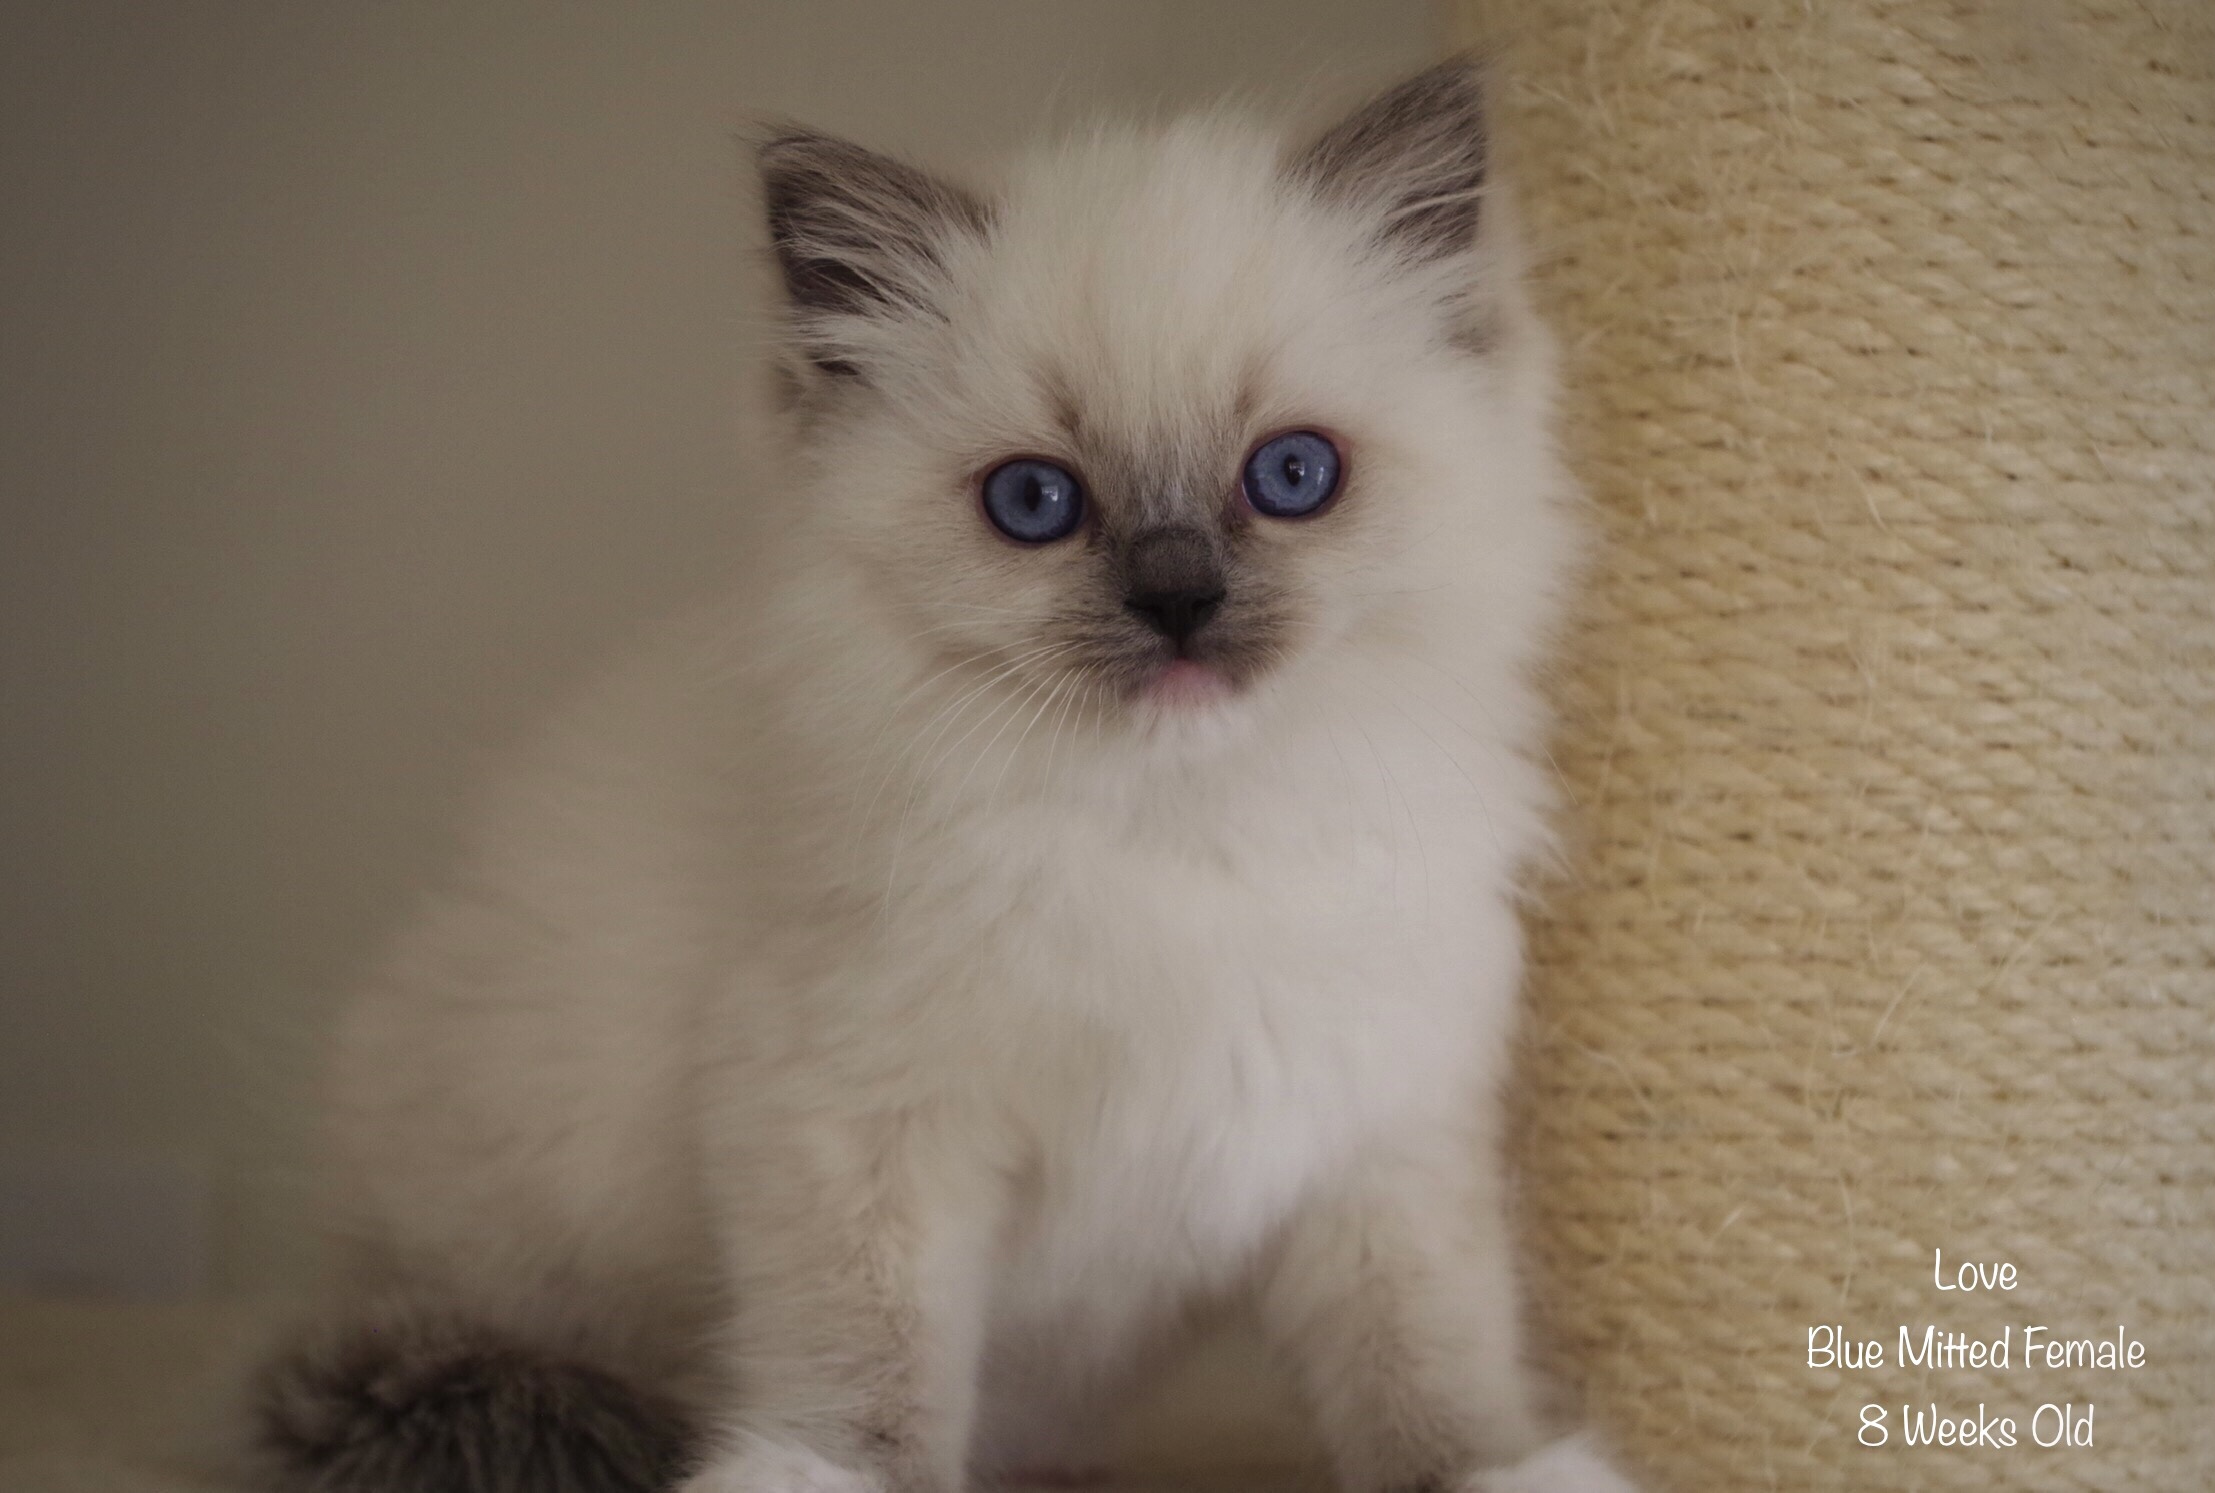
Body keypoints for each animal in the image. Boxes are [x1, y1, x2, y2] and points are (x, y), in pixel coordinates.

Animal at [249, 61, 1639, 1493]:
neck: (1181, 837)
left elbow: (1423, 1368)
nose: (1178, 603)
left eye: (1292, 475)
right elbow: (868, 1364)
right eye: (1034, 502)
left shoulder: (1374, 1136)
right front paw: (818, 1475)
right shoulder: (854, 1118)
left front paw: (1506, 1472)